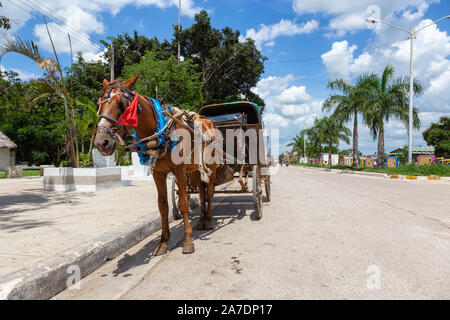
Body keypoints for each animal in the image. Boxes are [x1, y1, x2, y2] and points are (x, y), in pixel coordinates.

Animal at [94, 73, 217, 255]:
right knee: (202, 192)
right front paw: (163, 242)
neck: (162, 133)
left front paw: (188, 240)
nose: (101, 142)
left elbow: (183, 203)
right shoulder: (158, 172)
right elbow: (163, 205)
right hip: (195, 170)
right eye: (99, 103)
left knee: (209, 192)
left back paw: (208, 220)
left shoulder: (180, 170)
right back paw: (201, 221)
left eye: (121, 105)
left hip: (212, 166)